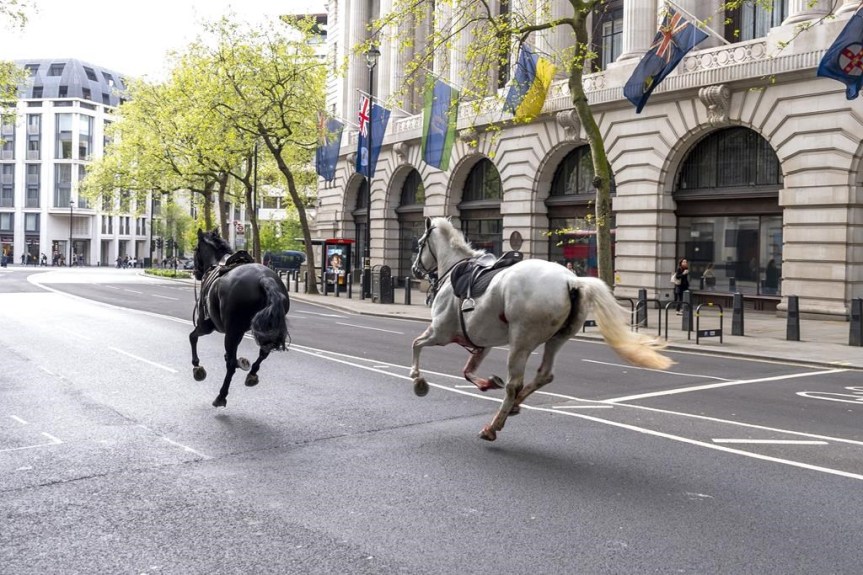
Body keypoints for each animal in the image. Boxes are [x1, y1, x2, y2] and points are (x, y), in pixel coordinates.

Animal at [190, 228, 291, 407]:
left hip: (230, 331)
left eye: (196, 249)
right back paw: (252, 374)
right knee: (264, 351)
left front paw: (197, 367)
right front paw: (242, 362)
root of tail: (264, 278)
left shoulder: (206, 325)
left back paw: (221, 396)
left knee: (230, 365)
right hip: (263, 328)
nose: (195, 272)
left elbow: (192, 337)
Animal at [410, 217, 673, 441]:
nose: (414, 270)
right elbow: (467, 371)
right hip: (557, 338)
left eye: (420, 243)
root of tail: (572, 280)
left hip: (521, 341)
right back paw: (514, 406)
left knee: (514, 384)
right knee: (544, 375)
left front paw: (418, 380)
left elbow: (416, 344)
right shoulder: (481, 342)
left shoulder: (441, 332)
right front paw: (487, 383)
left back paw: (493, 426)